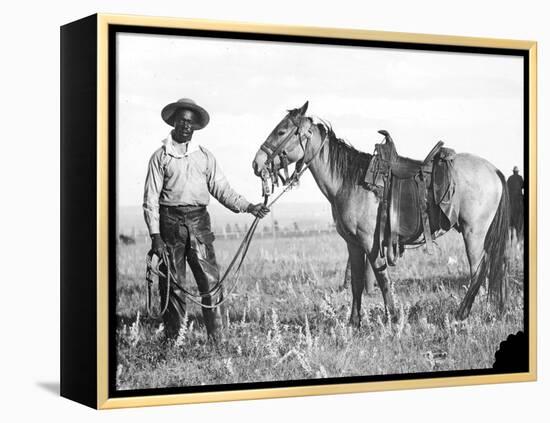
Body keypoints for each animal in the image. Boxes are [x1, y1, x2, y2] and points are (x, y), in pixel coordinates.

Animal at [252, 102, 512, 324]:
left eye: (281, 131)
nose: (257, 163)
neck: (349, 181)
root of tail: (495, 170)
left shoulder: (370, 241)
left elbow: (382, 278)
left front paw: (393, 319)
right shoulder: (353, 243)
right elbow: (357, 281)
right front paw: (354, 323)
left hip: (473, 232)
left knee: (478, 269)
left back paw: (461, 314)